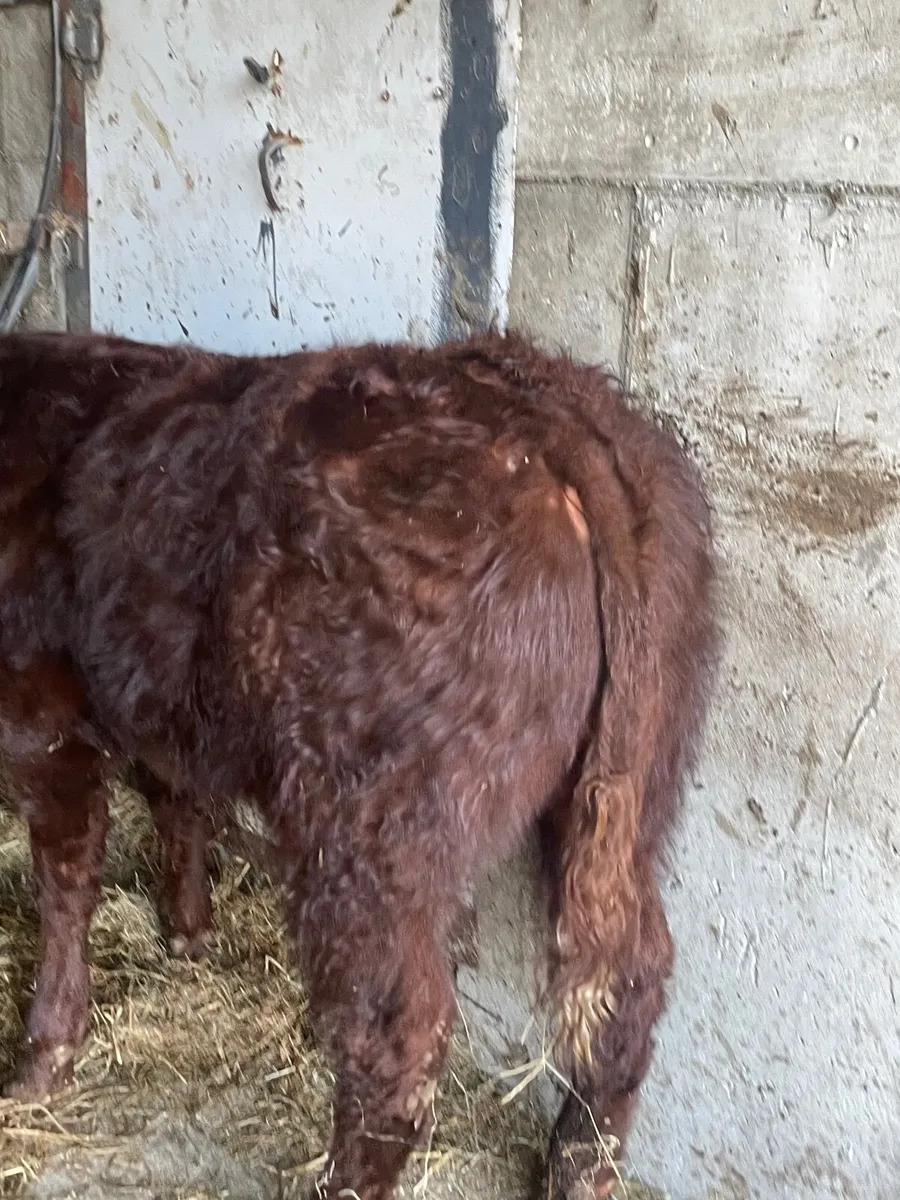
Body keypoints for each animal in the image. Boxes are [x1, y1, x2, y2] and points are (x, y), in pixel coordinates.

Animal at [0, 329, 717, 1199]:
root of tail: (535, 411)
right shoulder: (163, 699)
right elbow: (178, 800)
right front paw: (188, 930)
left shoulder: (37, 716)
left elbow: (66, 886)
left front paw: (43, 1058)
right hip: (633, 785)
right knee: (628, 983)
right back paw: (575, 1172)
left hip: (367, 822)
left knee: (397, 1034)